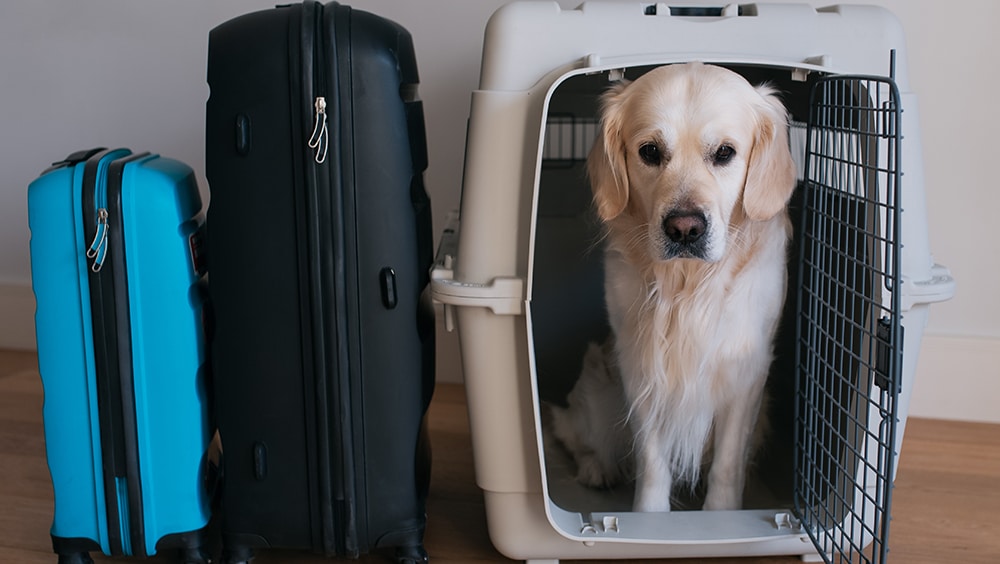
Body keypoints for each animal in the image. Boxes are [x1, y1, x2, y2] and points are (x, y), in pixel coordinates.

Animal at [548, 61, 796, 512]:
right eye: (649, 151)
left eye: (725, 153)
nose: (685, 229)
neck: (688, 283)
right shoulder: (640, 365)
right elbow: (651, 460)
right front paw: (649, 517)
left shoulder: (746, 371)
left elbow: (727, 463)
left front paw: (720, 515)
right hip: (597, 392)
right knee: (576, 436)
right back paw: (597, 469)